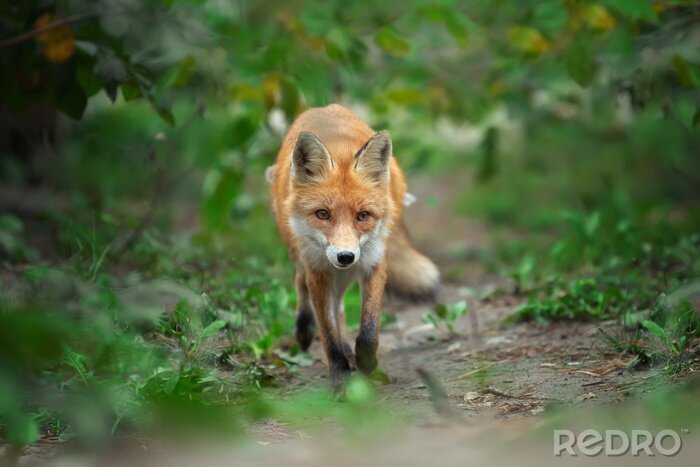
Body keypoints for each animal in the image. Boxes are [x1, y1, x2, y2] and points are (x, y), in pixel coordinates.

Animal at [268, 104, 438, 390]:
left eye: (363, 216)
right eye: (323, 214)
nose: (345, 256)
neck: (340, 150)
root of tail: (323, 107)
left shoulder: (374, 263)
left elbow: (369, 330)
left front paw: (366, 363)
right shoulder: (318, 270)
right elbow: (328, 334)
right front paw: (340, 377)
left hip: (346, 272)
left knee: (339, 308)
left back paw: (350, 351)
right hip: (303, 255)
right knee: (302, 285)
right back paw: (304, 330)